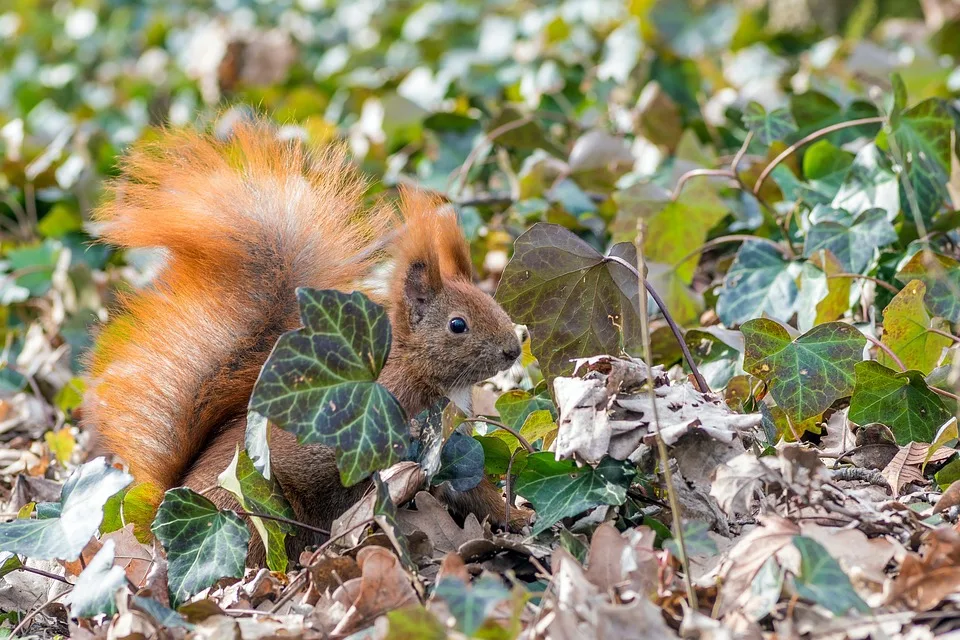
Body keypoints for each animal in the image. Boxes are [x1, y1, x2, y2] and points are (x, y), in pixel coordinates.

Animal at [85, 121, 528, 564]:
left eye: (492, 301)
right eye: (458, 325)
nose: (513, 349)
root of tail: (161, 527)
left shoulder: (449, 449)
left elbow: (473, 491)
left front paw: (520, 518)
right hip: (254, 510)